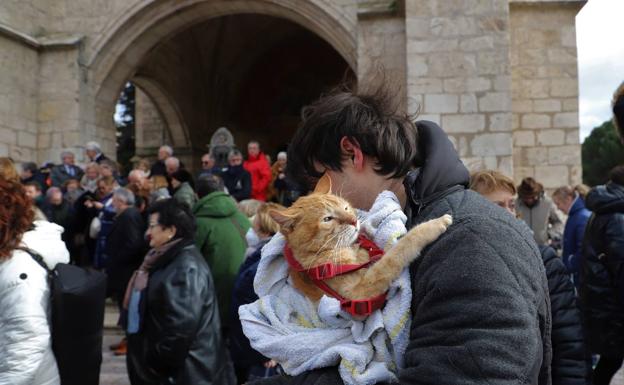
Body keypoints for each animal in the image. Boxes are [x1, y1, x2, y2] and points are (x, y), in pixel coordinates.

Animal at [270, 174, 450, 312]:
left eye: (346, 208)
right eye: (327, 219)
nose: (354, 220)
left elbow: (388, 249)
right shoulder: (358, 292)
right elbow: (397, 252)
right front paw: (434, 225)